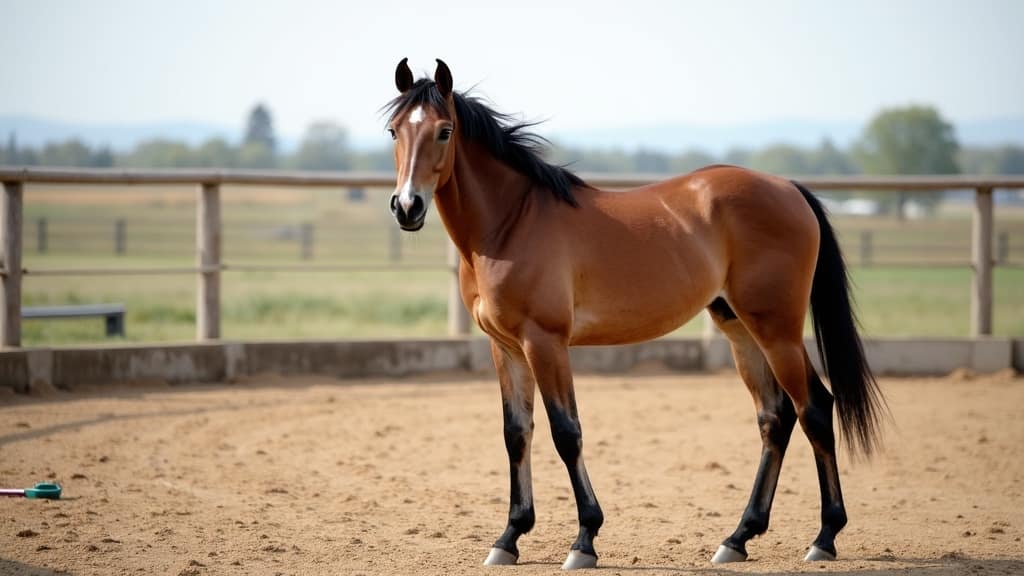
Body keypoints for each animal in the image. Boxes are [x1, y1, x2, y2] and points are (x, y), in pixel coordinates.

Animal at [383, 58, 886, 570]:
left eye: (444, 131)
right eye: (394, 131)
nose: (407, 206)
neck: (510, 224)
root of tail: (789, 188)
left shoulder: (545, 342)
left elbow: (566, 433)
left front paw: (584, 540)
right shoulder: (505, 347)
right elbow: (516, 433)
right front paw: (509, 538)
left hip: (776, 329)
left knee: (814, 410)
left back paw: (824, 537)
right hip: (740, 328)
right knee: (775, 418)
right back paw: (738, 537)